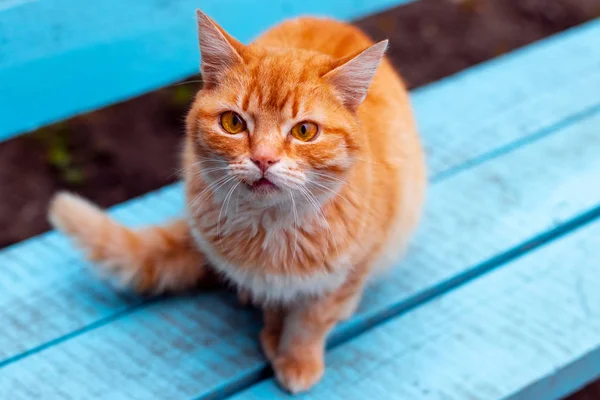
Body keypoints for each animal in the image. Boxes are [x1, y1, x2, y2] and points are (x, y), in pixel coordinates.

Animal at [50, 9, 426, 394]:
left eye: (304, 131)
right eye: (233, 123)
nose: (263, 159)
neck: (272, 228)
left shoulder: (353, 270)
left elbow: (312, 321)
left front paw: (297, 358)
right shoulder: (268, 279)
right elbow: (277, 305)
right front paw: (274, 334)